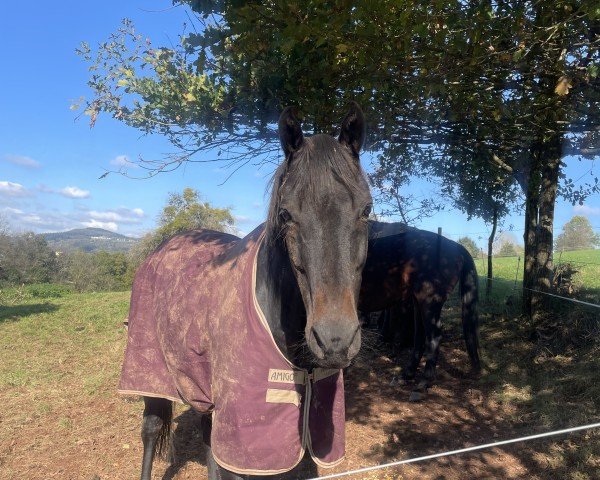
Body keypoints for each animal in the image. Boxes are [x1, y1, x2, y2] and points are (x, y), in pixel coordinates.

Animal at [118, 103, 372, 478]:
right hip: (150, 373)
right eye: (286, 214)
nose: (335, 340)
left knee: (208, 433)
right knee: (151, 429)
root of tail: (162, 248)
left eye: (366, 210)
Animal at [358, 221, 480, 390]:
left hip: (428, 302)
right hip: (418, 302)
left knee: (434, 335)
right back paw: (407, 374)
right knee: (420, 336)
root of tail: (454, 246)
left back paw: (425, 380)